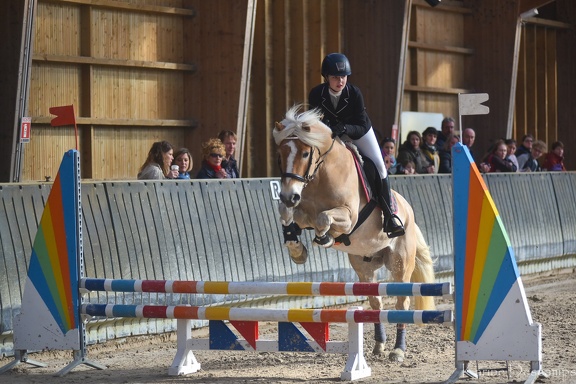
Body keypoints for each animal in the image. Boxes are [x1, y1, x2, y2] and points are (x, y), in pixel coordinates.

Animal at [274, 103, 436, 362]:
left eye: (305, 154)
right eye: (280, 155)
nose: (289, 195)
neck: (321, 177)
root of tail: (409, 212)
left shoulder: (349, 217)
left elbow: (323, 218)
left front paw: (324, 237)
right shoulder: (300, 208)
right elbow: (289, 215)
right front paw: (297, 250)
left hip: (400, 263)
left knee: (402, 303)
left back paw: (398, 350)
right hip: (364, 266)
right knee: (375, 301)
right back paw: (379, 345)